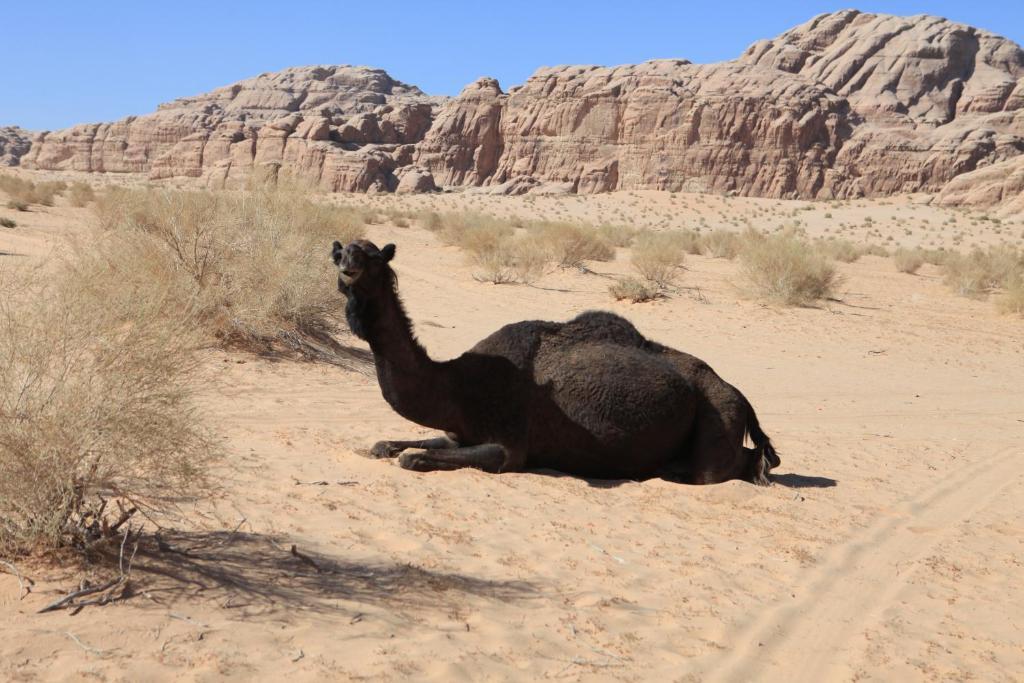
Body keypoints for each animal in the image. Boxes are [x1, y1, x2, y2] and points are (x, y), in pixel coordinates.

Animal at [331, 240, 778, 485]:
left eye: (373, 256)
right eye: (341, 252)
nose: (347, 265)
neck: (458, 383)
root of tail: (739, 394)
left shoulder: (509, 446)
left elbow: (412, 457)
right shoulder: (457, 433)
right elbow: (386, 446)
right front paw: (386, 445)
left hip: (718, 414)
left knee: (725, 468)